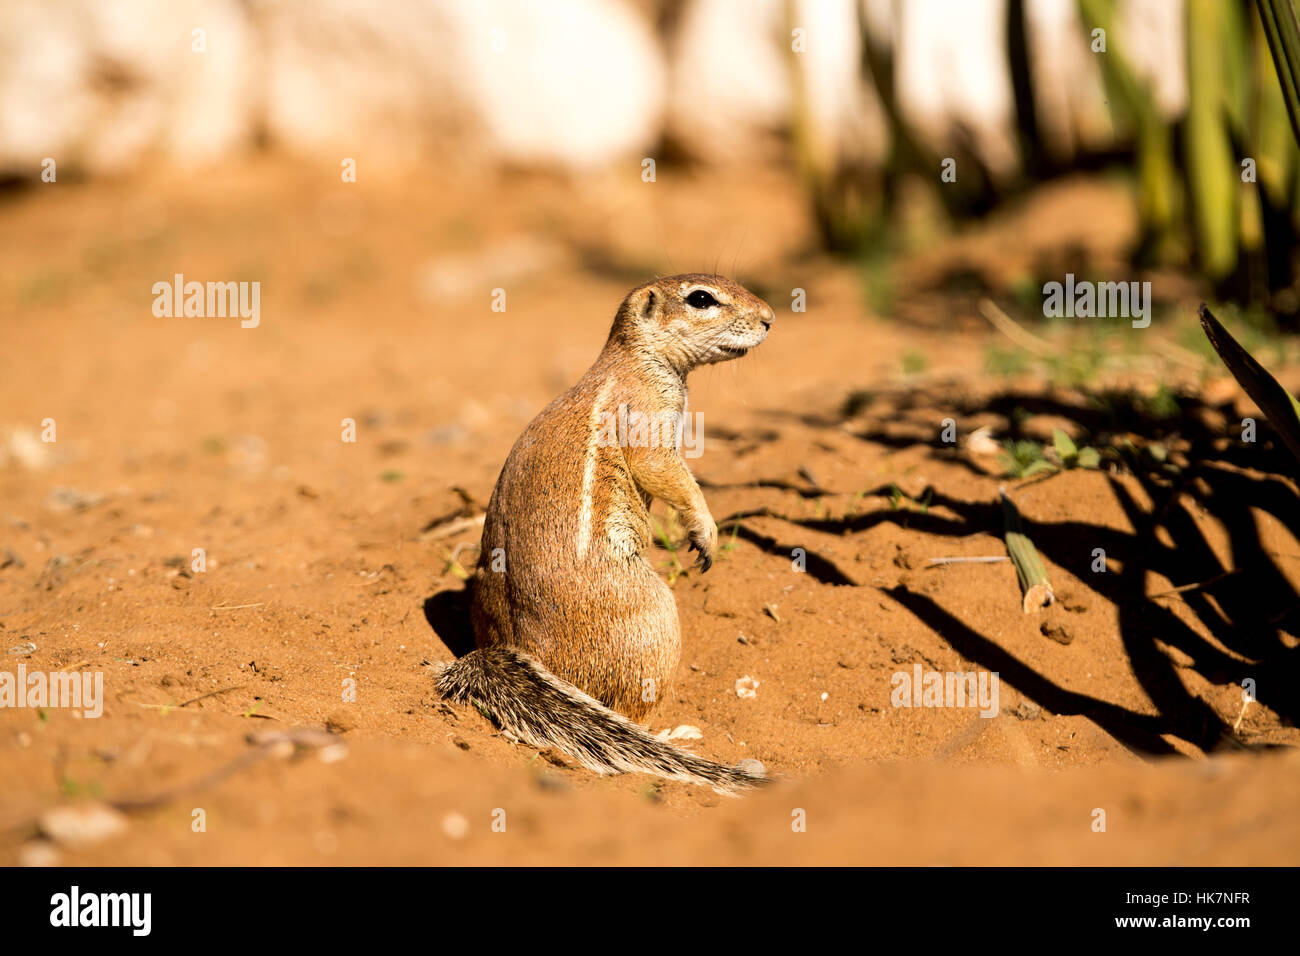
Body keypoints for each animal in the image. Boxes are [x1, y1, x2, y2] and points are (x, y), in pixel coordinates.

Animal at [441, 274, 774, 790]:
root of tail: (507, 649)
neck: (634, 360)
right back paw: (674, 732)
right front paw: (706, 532)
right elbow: (663, 469)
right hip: (655, 619)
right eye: (701, 298)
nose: (769, 318)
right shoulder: (644, 415)